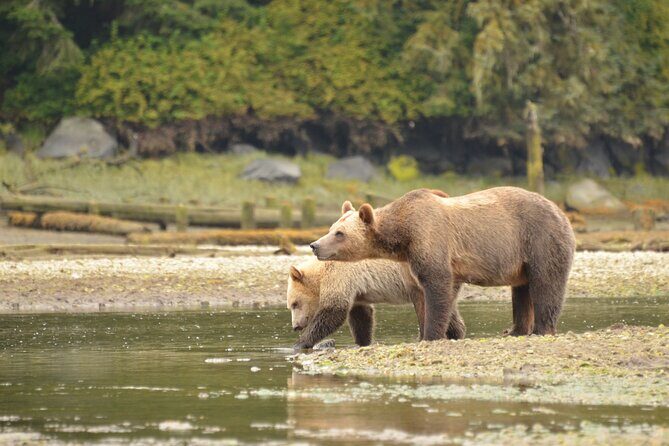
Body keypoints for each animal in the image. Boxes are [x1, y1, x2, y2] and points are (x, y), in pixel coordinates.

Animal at [288, 257, 466, 350]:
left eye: (295, 304)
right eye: (290, 305)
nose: (295, 326)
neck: (320, 275)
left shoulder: (340, 276)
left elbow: (334, 311)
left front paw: (301, 343)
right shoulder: (356, 290)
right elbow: (361, 315)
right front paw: (363, 342)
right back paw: (456, 333)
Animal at [309, 187, 576, 341]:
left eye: (340, 234)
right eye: (331, 228)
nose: (315, 245)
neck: (402, 236)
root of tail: (560, 211)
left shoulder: (430, 239)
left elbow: (437, 288)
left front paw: (431, 334)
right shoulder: (411, 261)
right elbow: (422, 294)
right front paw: (425, 333)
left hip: (539, 238)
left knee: (545, 283)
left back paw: (541, 329)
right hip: (520, 259)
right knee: (521, 290)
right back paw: (516, 330)